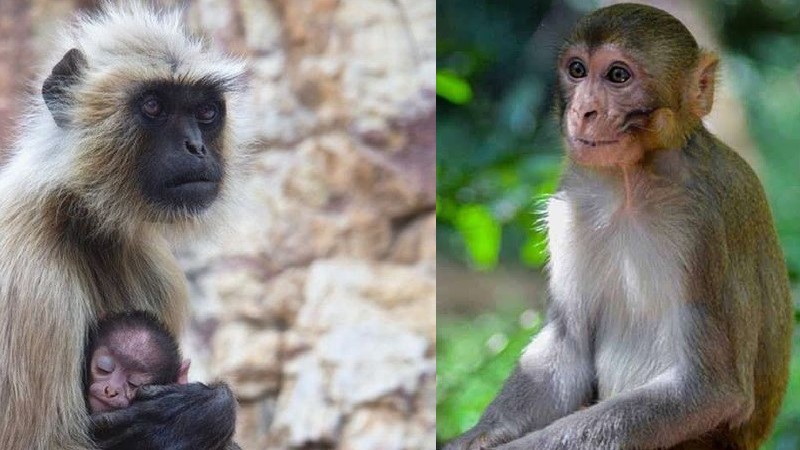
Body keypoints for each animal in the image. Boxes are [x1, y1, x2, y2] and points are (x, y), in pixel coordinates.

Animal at [443, 4, 793, 450]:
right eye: (577, 69)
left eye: (618, 76)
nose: (582, 111)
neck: (633, 181)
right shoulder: (573, 200)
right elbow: (569, 345)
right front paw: (476, 437)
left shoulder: (704, 224)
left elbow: (710, 389)